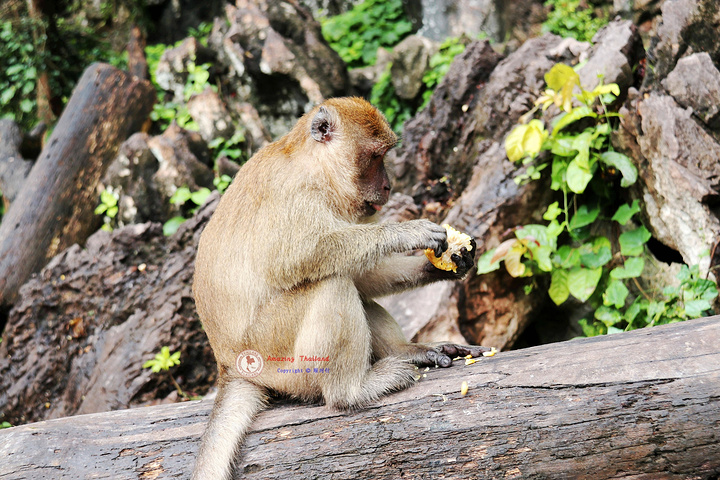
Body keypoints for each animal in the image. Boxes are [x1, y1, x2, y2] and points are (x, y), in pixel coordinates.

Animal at [191, 95, 486, 478]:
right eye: (375, 157)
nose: (388, 186)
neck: (313, 166)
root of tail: (228, 365)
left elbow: (364, 276)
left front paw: (447, 265)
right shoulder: (297, 196)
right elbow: (303, 257)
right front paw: (407, 232)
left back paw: (408, 351)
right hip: (279, 356)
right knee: (332, 284)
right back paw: (354, 390)